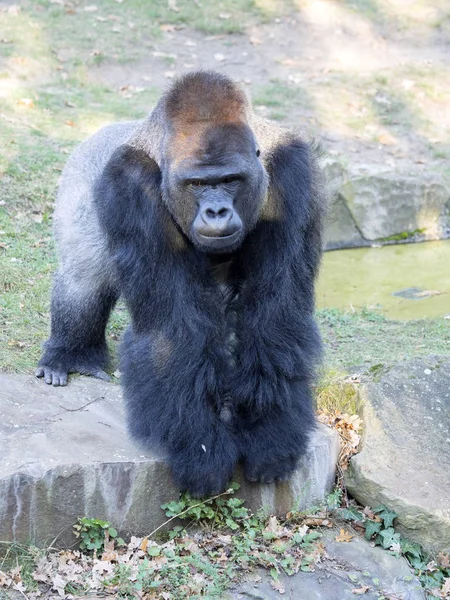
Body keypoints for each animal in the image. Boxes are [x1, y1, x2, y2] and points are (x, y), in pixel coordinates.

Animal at [37, 71, 326, 496]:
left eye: (230, 180)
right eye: (197, 184)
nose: (217, 210)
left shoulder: (292, 171)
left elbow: (275, 314)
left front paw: (269, 435)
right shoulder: (130, 183)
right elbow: (173, 330)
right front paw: (202, 451)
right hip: (80, 174)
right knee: (84, 274)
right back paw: (71, 354)